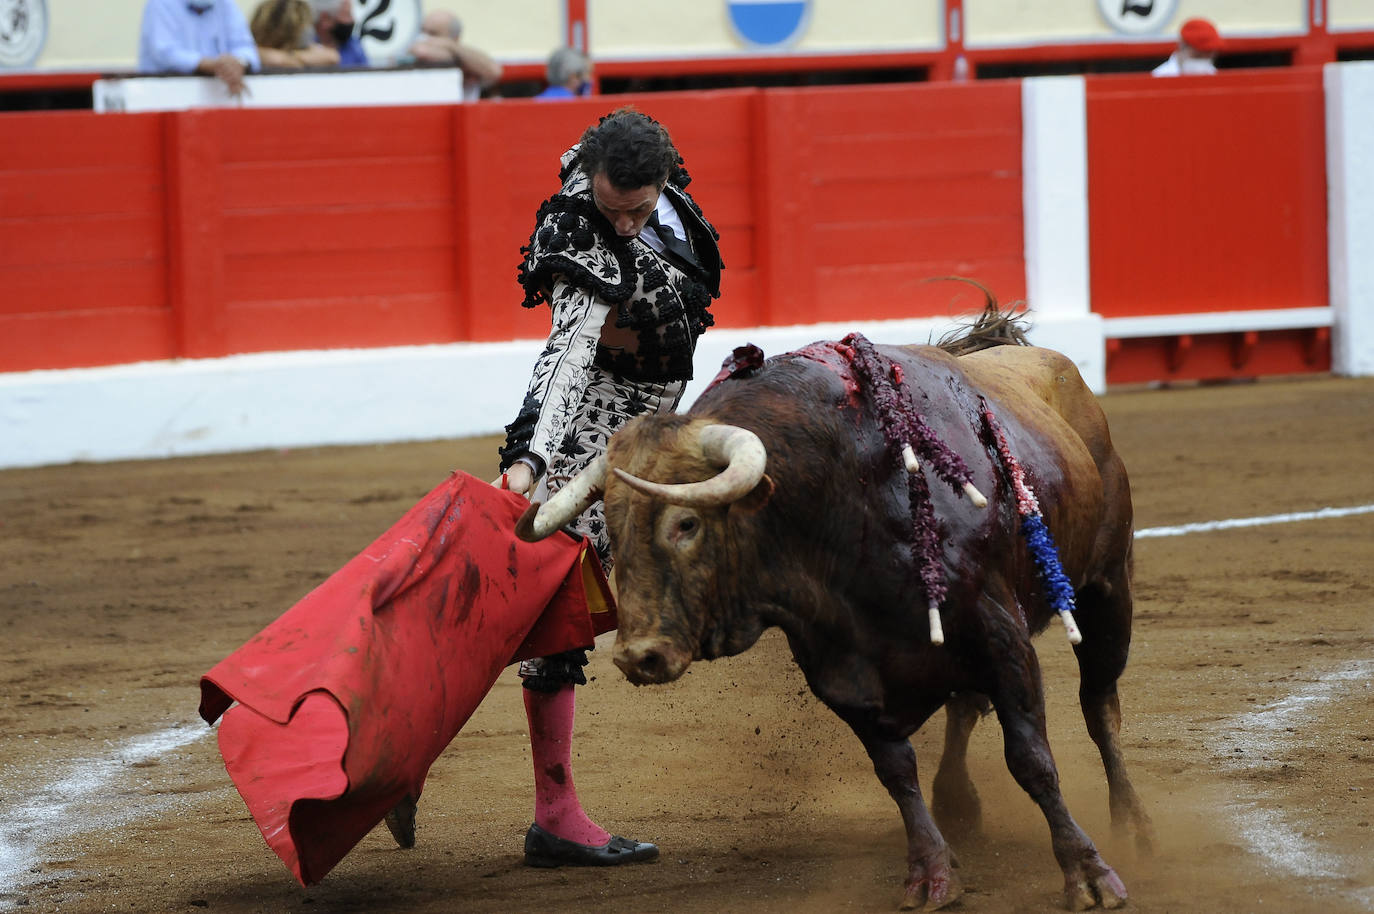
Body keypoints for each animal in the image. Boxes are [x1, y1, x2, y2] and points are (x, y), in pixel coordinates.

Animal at [519, 305, 1154, 907]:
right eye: (613, 525)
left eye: (687, 522)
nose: (638, 656)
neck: (837, 499)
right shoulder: (841, 667)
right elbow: (896, 771)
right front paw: (932, 875)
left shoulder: (1002, 638)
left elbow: (1030, 758)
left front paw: (1089, 876)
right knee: (966, 708)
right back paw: (959, 803)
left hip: (1106, 590)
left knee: (1098, 704)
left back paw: (1133, 825)